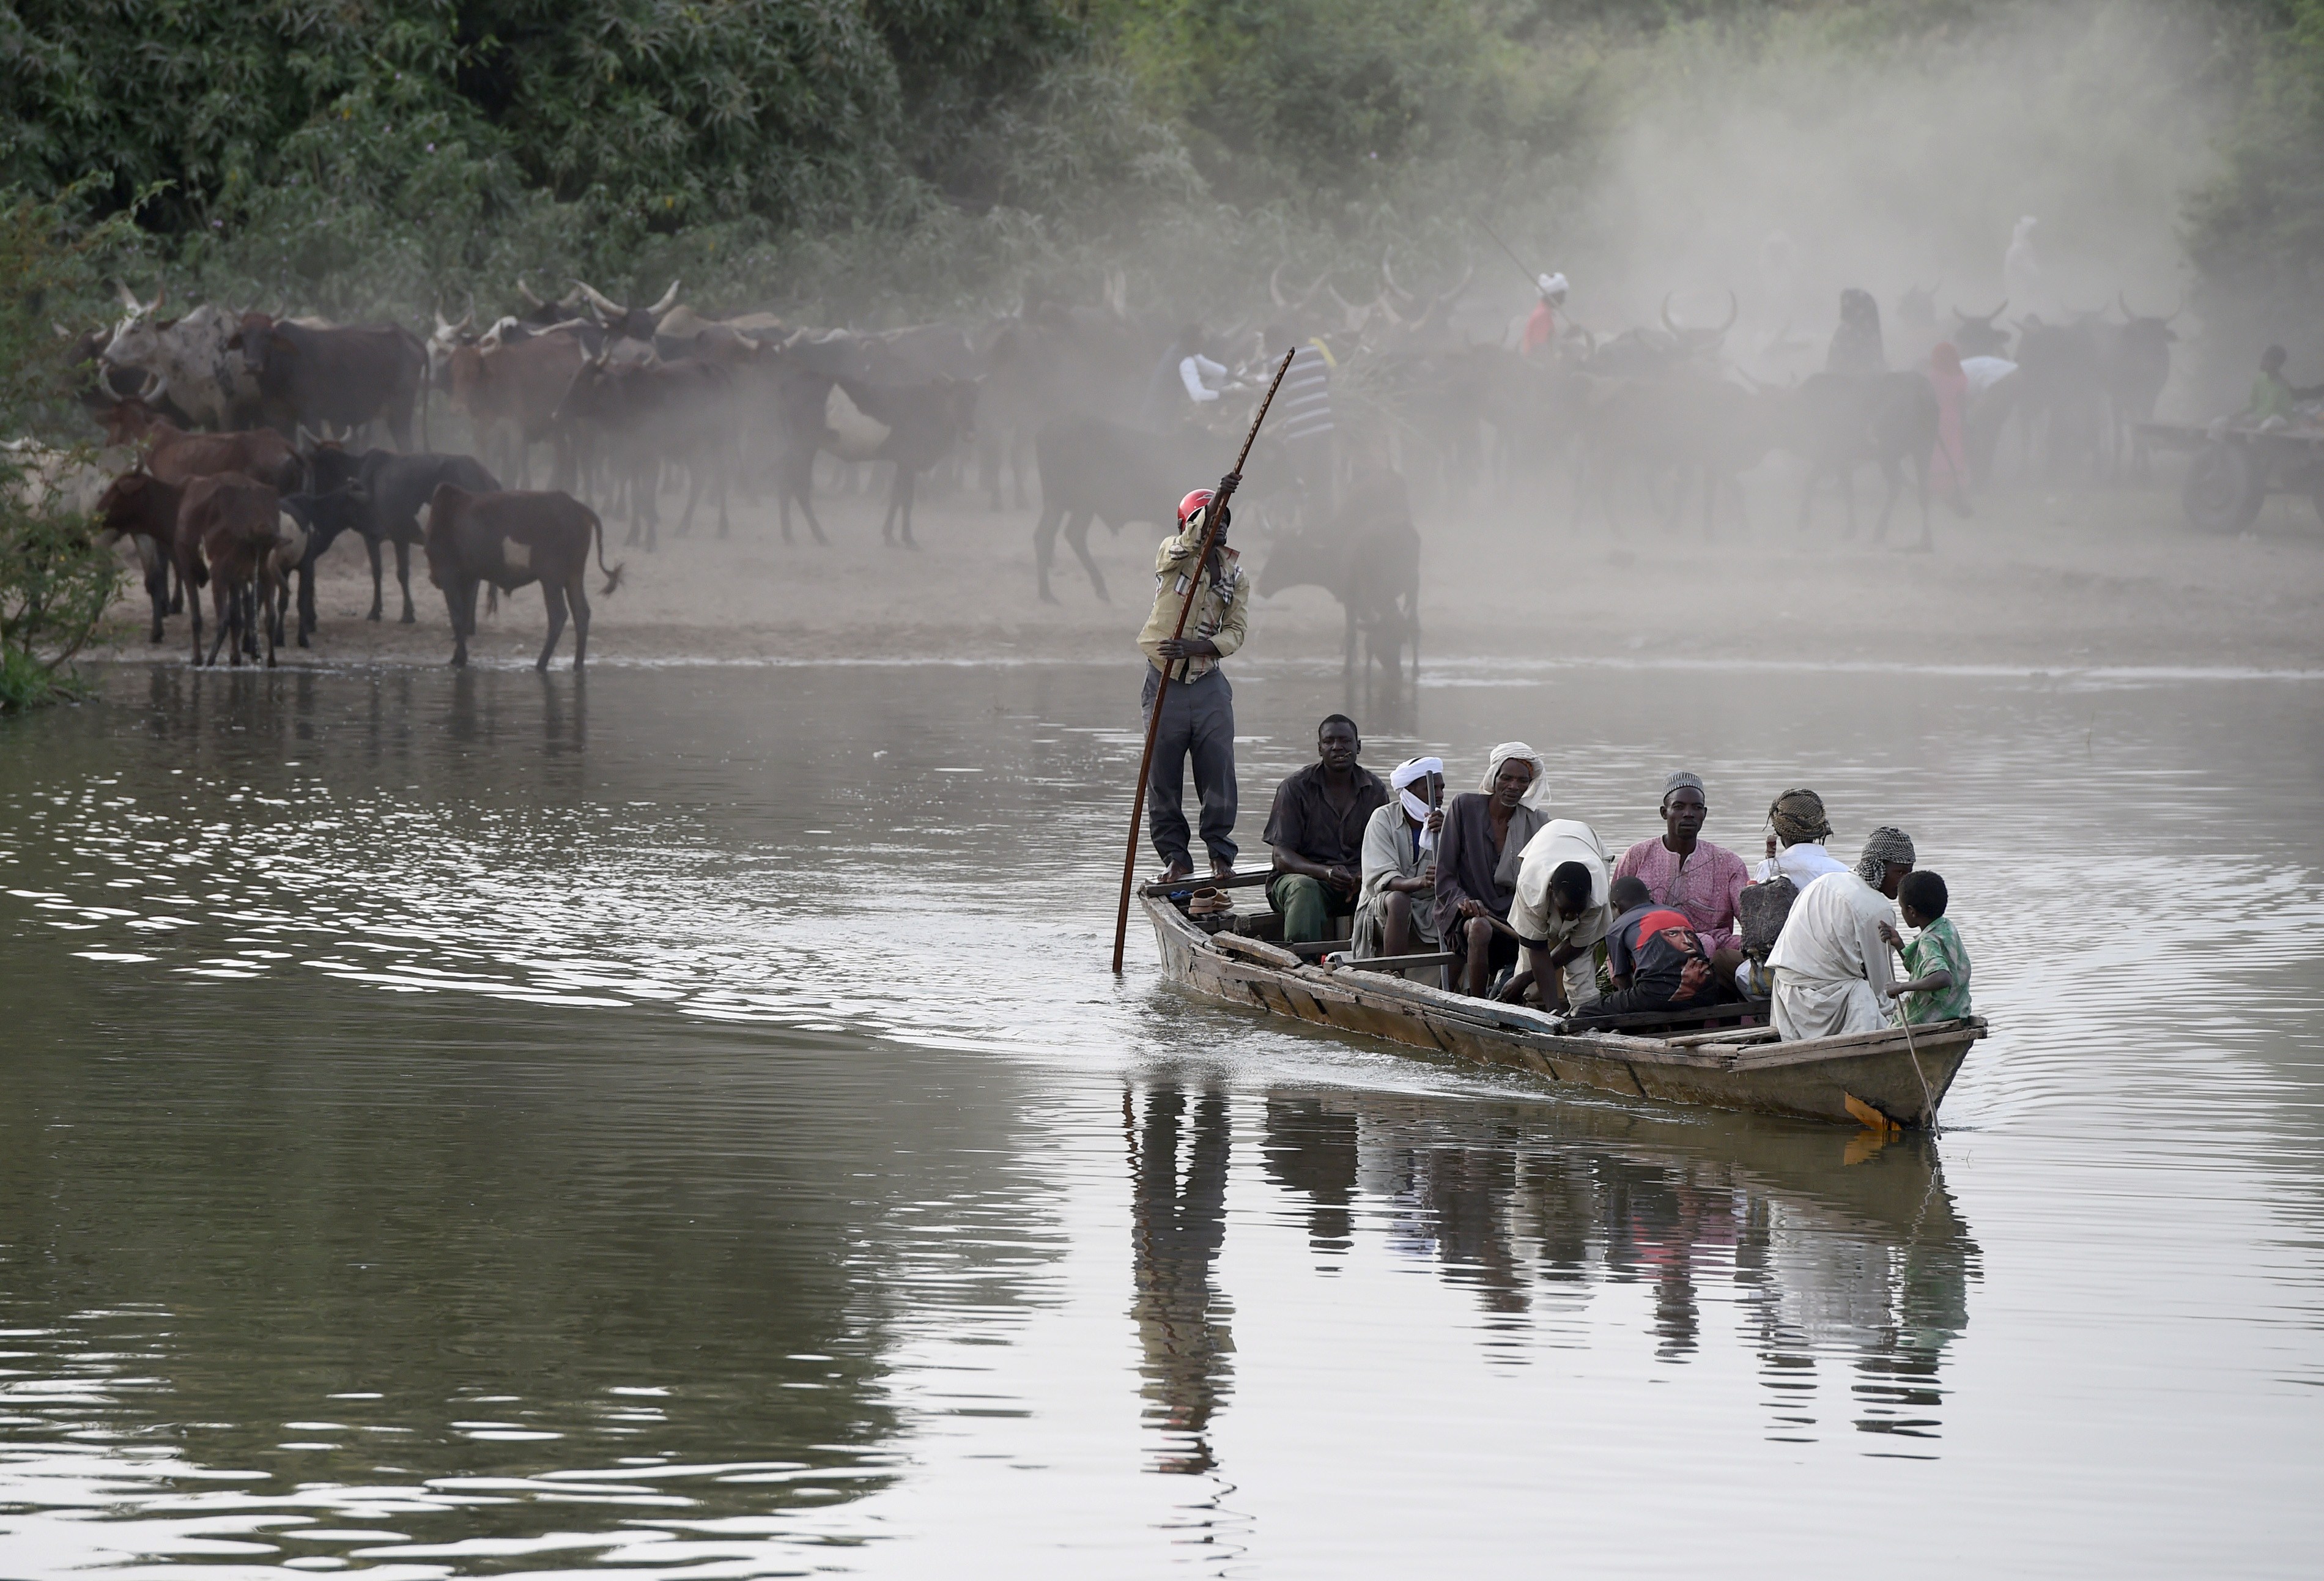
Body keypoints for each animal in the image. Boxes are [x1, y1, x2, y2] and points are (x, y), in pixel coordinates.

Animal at [418, 488, 618, 674]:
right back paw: (577, 664)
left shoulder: (449, 575)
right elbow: (465, 617)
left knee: (558, 615)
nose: (432, 577)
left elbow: (457, 618)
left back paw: (541, 663)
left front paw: (460, 659)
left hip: (551, 578)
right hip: (574, 575)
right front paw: (458, 656)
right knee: (581, 613)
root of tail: (576, 506)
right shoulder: (468, 578)